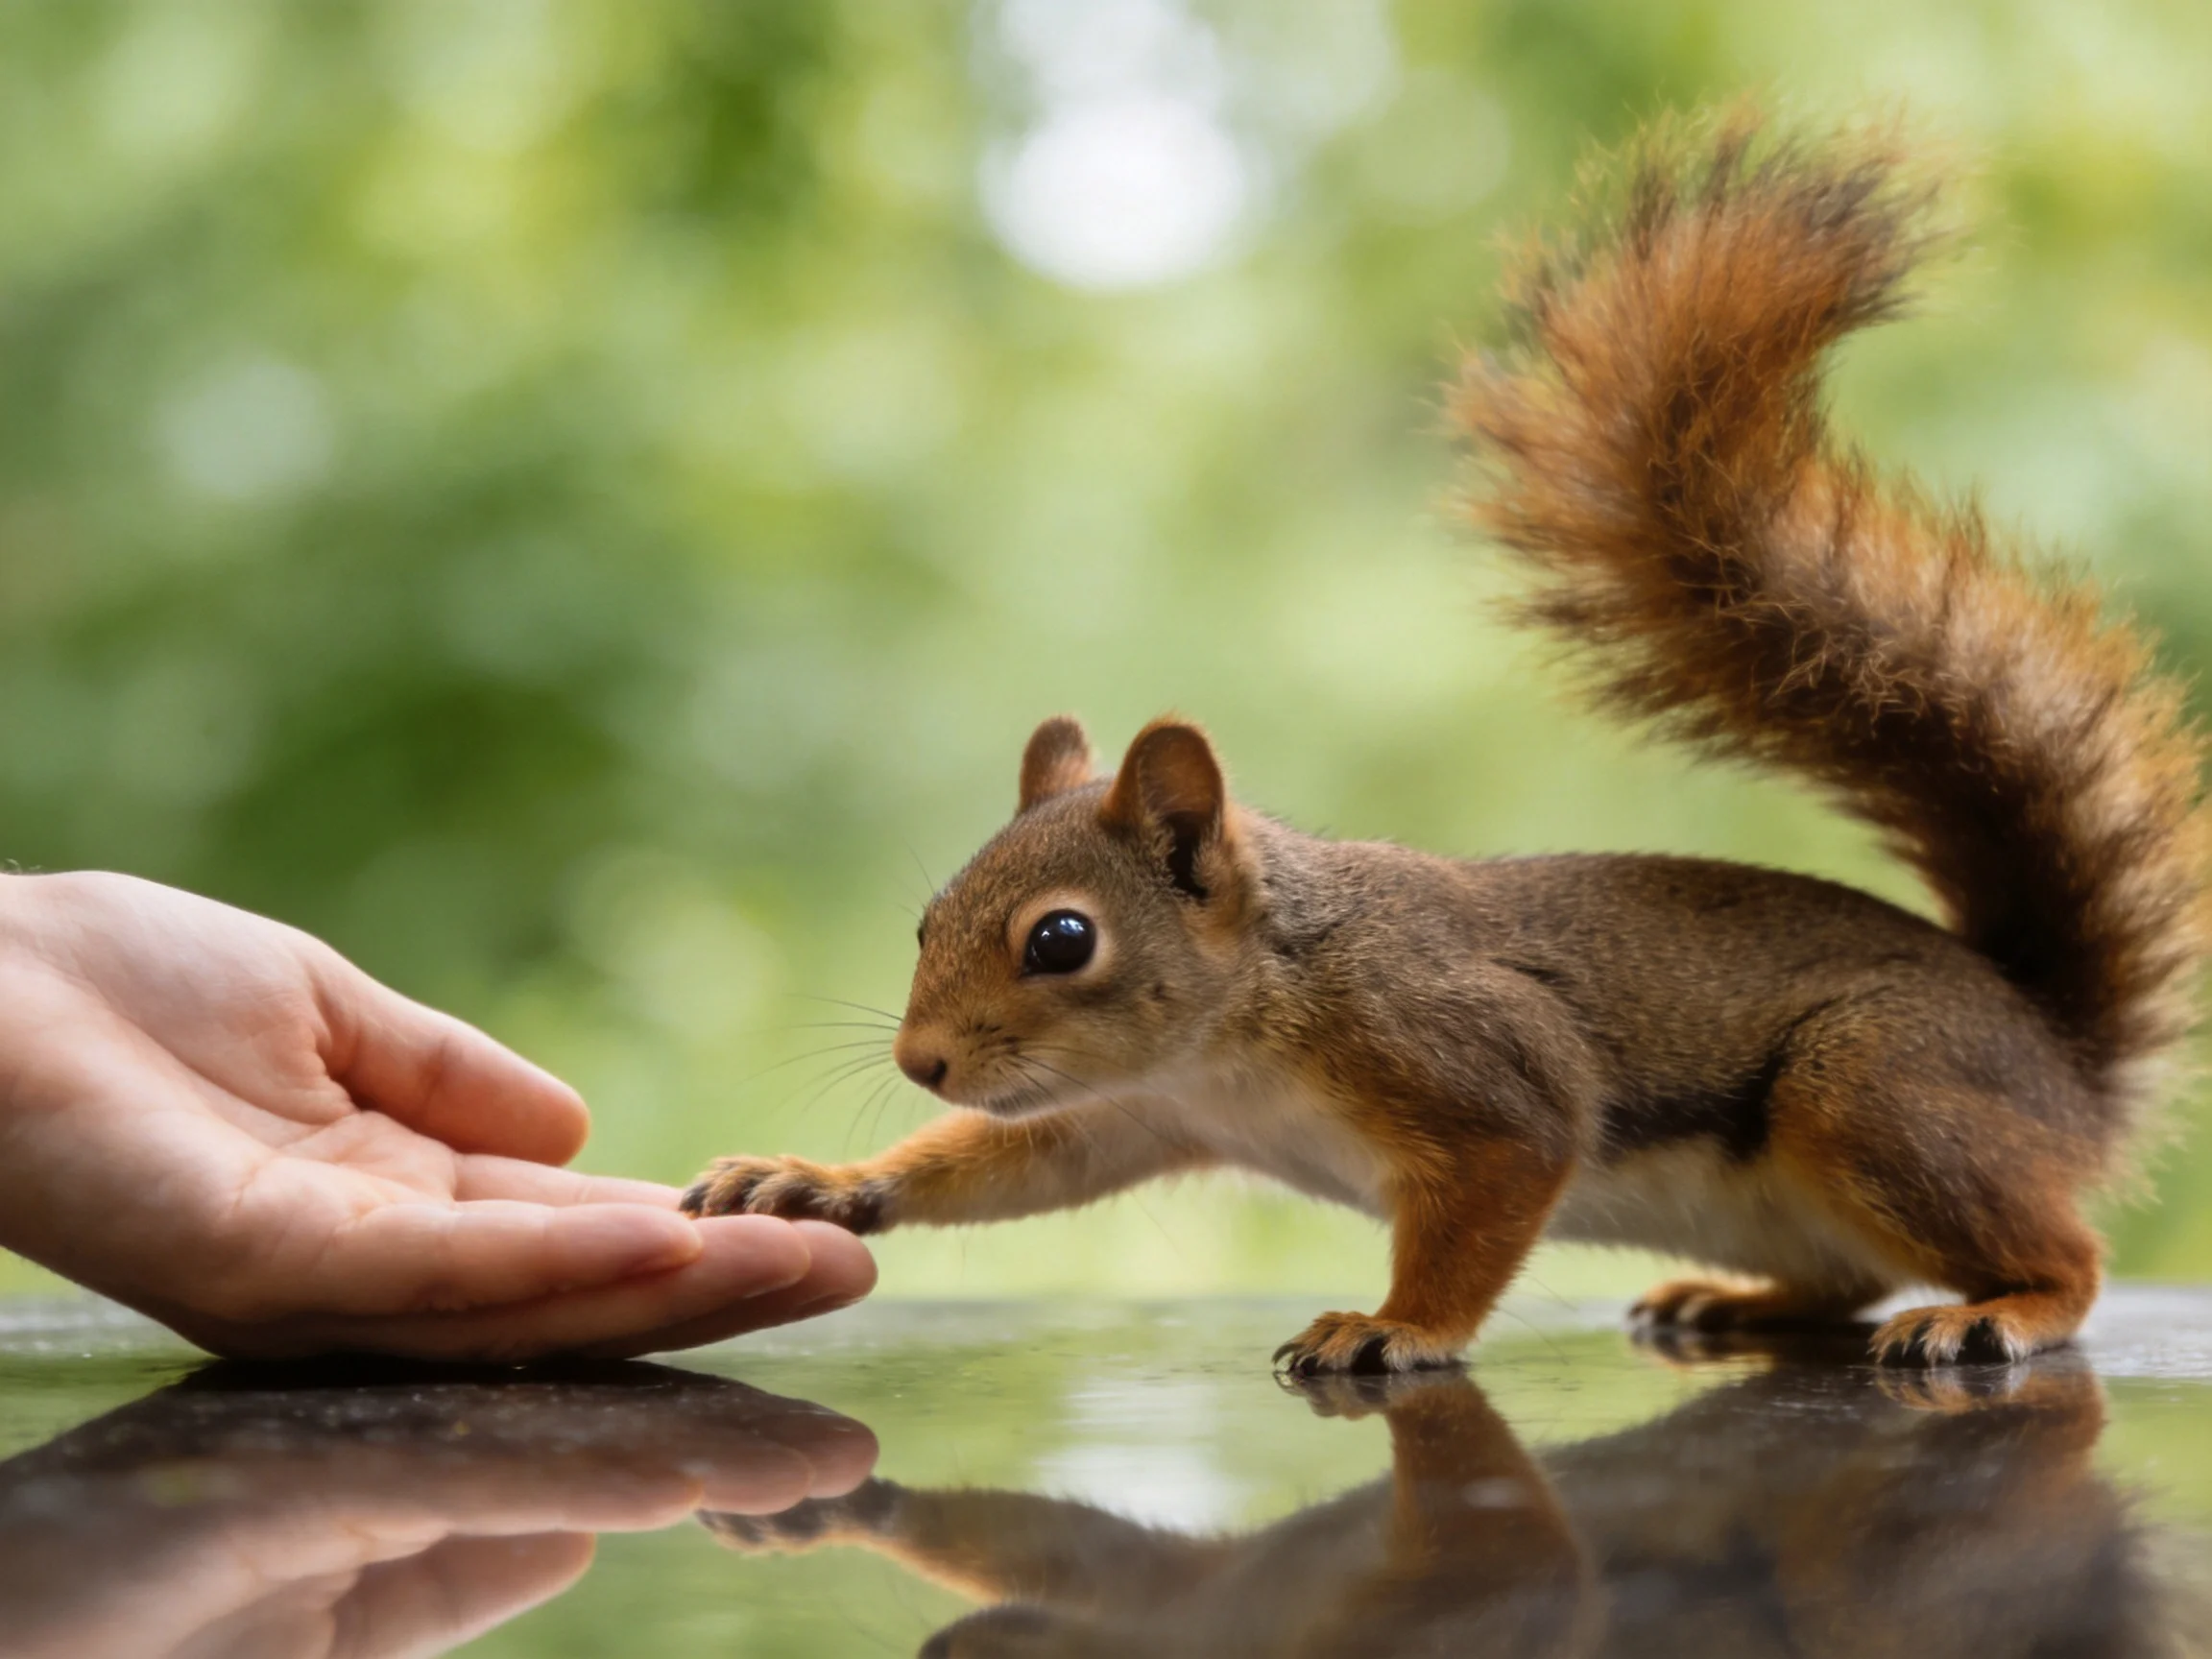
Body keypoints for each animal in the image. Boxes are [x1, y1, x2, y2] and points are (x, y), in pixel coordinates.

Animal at [685, 115, 2211, 1374]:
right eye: (926, 919)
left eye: (1061, 940)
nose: (922, 1067)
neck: (1249, 1018)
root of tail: (2061, 1065)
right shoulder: (1139, 1114)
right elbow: (1013, 1165)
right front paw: (821, 1182)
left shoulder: (1480, 1073)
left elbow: (1488, 1204)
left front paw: (1393, 1327)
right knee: (1843, 1281)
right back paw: (1734, 1303)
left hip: (1880, 1097)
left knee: (2067, 1258)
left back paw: (1999, 1311)